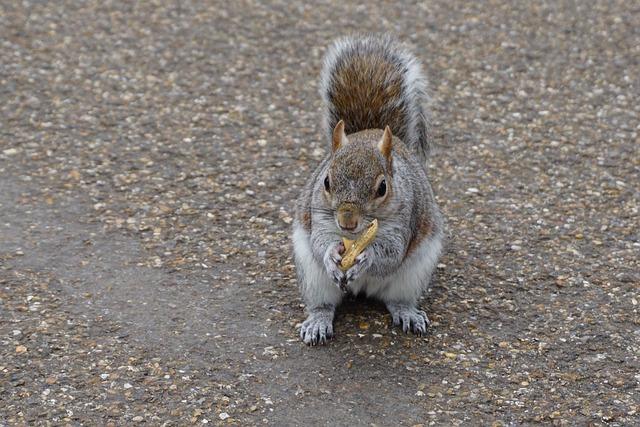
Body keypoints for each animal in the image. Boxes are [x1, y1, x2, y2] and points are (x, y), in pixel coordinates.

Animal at [292, 35, 442, 346]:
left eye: (382, 187)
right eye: (326, 182)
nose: (347, 222)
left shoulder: (404, 221)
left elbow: (391, 253)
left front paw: (368, 258)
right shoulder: (320, 216)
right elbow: (320, 241)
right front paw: (331, 255)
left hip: (413, 275)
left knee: (397, 299)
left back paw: (407, 313)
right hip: (313, 278)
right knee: (323, 303)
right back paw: (318, 322)